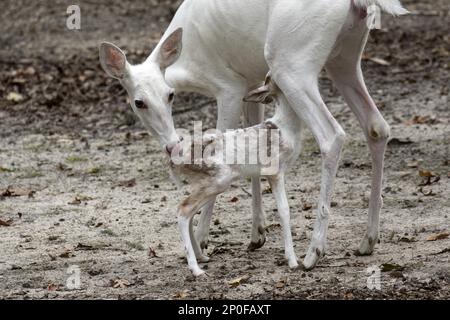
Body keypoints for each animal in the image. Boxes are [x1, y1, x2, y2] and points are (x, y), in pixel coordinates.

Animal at [100, 0, 410, 272]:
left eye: (170, 95)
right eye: (139, 102)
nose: (171, 144)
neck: (186, 63)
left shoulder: (229, 87)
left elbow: (224, 139)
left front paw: (201, 243)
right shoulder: (252, 82)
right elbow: (254, 143)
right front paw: (257, 233)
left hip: (291, 60)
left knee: (332, 135)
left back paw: (313, 253)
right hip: (344, 56)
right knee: (377, 126)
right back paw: (368, 241)